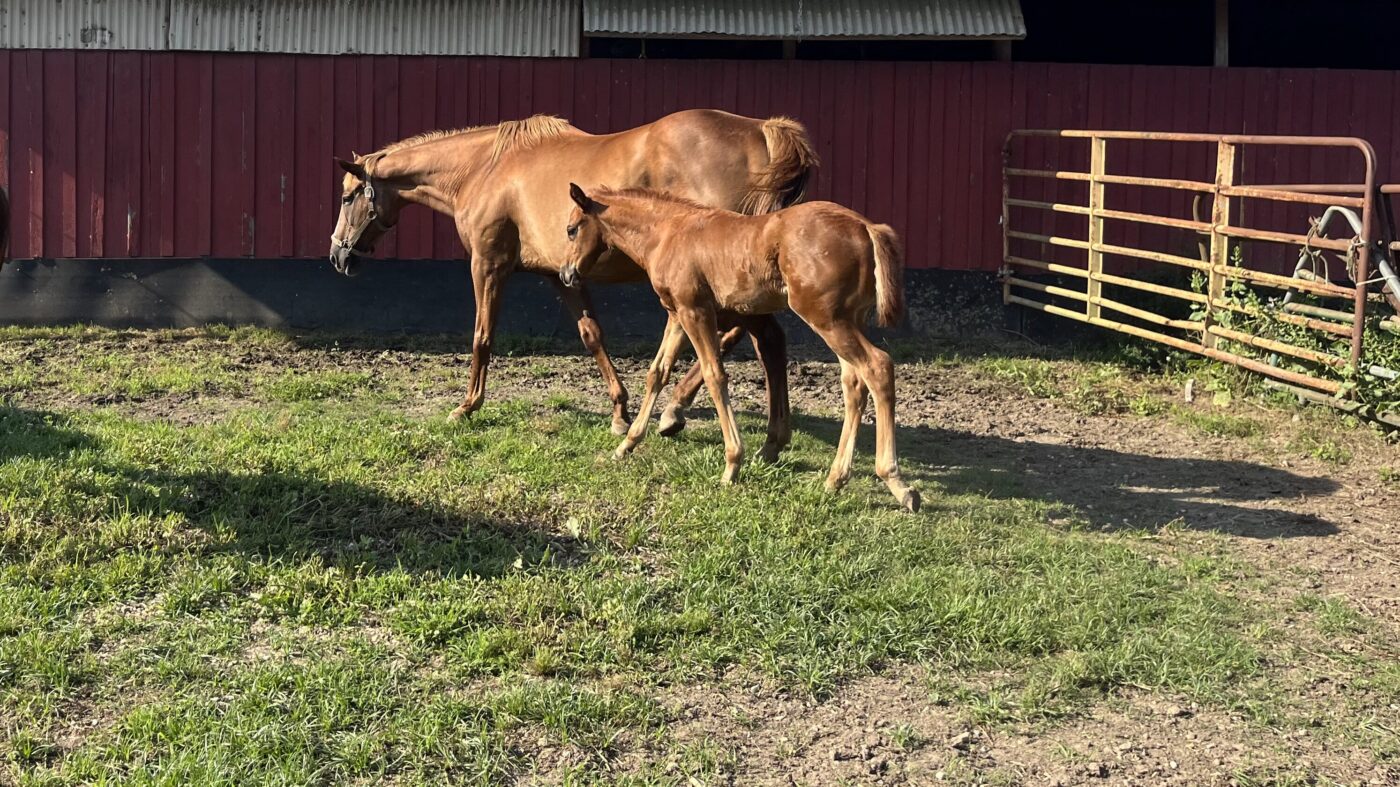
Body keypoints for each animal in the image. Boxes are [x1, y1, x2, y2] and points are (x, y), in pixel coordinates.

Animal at [329, 109, 817, 437]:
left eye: (349, 197)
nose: (337, 255)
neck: (485, 167)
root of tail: (762, 130)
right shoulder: (558, 274)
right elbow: (591, 334)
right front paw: (620, 411)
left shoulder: (487, 264)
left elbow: (482, 337)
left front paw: (467, 406)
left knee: (734, 334)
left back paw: (675, 409)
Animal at [559, 184, 920, 513]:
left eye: (571, 229)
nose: (566, 273)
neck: (667, 233)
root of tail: (867, 227)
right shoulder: (676, 313)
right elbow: (656, 373)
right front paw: (627, 443)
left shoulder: (695, 310)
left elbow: (714, 375)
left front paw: (732, 464)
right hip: (848, 319)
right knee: (854, 384)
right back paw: (835, 479)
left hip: (826, 317)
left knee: (878, 367)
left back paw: (895, 482)